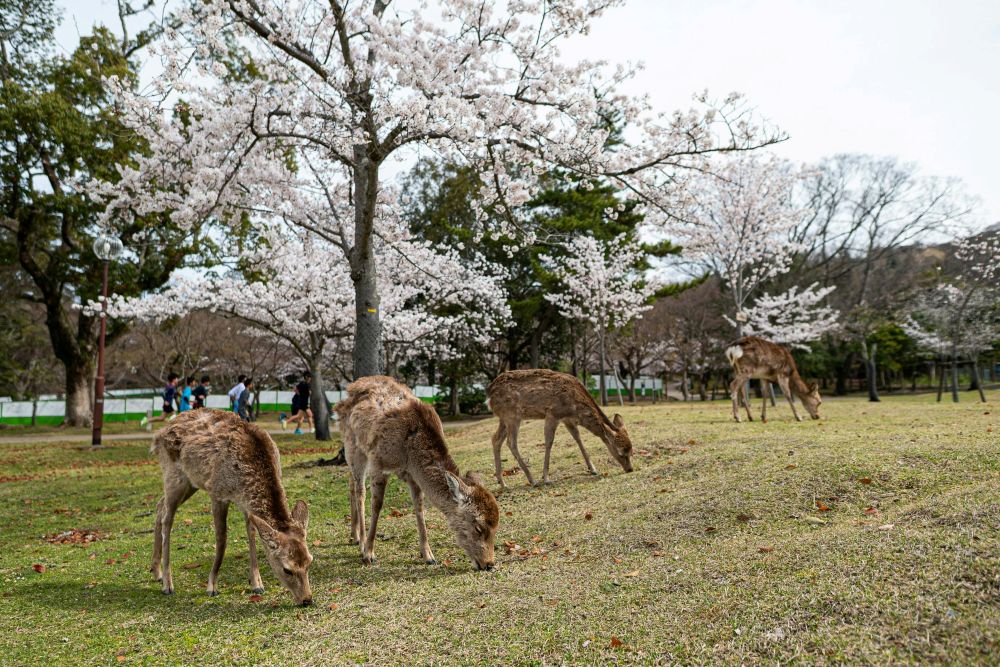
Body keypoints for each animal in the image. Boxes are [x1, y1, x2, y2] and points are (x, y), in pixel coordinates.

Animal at [150, 409, 314, 606]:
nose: (307, 599)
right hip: (173, 475)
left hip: (191, 482)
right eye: (287, 569)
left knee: (160, 506)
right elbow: (222, 540)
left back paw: (156, 572)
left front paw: (257, 583)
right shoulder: (217, 492)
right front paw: (212, 586)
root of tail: (158, 435)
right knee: (167, 519)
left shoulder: (246, 504)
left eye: (309, 562)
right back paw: (167, 583)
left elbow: (251, 533)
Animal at [335, 375, 499, 571]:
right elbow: (377, 505)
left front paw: (428, 555)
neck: (409, 455)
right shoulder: (379, 463)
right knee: (360, 490)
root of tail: (347, 393)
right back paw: (361, 543)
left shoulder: (413, 476)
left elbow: (419, 507)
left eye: (496, 526)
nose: (489, 564)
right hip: (353, 445)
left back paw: (354, 535)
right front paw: (369, 554)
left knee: (351, 482)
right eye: (478, 527)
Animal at [486, 369, 634, 490]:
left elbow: (578, 438)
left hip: (504, 418)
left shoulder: (567, 419)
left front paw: (593, 469)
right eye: (621, 453)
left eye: (631, 451)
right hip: (512, 415)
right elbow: (549, 442)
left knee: (495, 439)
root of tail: (488, 396)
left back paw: (503, 483)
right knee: (511, 442)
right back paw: (532, 480)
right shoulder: (553, 413)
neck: (576, 408)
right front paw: (546, 478)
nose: (630, 469)